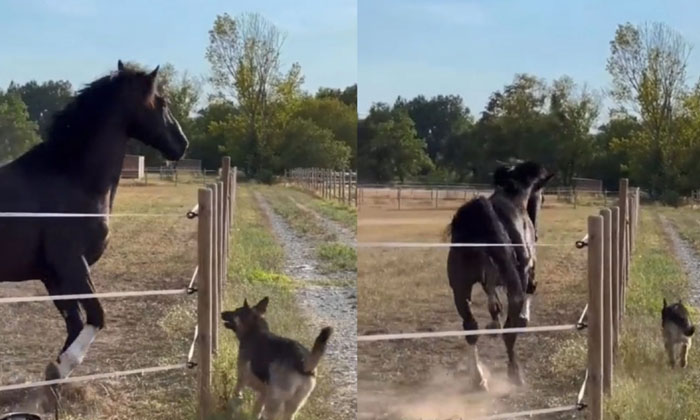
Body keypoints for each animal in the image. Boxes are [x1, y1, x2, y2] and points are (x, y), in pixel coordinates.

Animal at [0, 60, 187, 384]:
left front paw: (56, 376)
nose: (182, 144)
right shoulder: (73, 266)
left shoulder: (54, 276)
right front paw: (63, 366)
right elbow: (97, 317)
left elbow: (74, 324)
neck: (71, 179)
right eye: (162, 102)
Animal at [448, 162, 552, 390]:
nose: (537, 234)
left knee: (471, 328)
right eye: (542, 198)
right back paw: (514, 374)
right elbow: (529, 294)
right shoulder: (526, 274)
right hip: (513, 288)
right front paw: (522, 319)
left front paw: (493, 322)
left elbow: (493, 306)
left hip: (460, 289)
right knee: (509, 332)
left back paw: (478, 378)